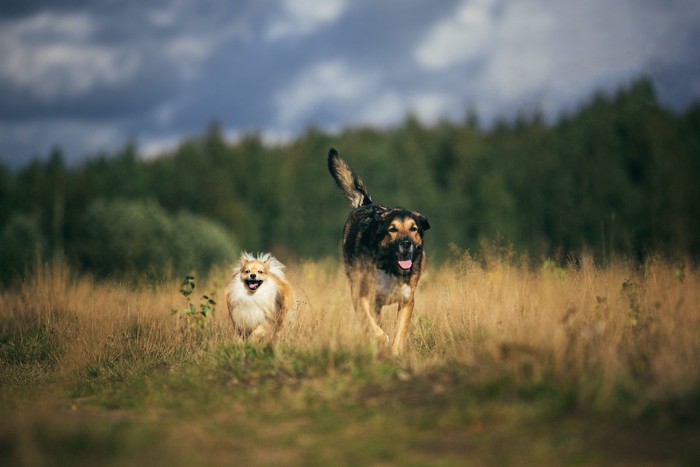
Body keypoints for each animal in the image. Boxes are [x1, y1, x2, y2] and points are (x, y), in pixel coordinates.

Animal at [326, 148, 426, 356]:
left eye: (413, 229)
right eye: (392, 229)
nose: (406, 244)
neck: (389, 267)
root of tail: (365, 204)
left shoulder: (407, 301)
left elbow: (400, 332)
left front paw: (395, 352)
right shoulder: (361, 297)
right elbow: (374, 328)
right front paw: (381, 341)